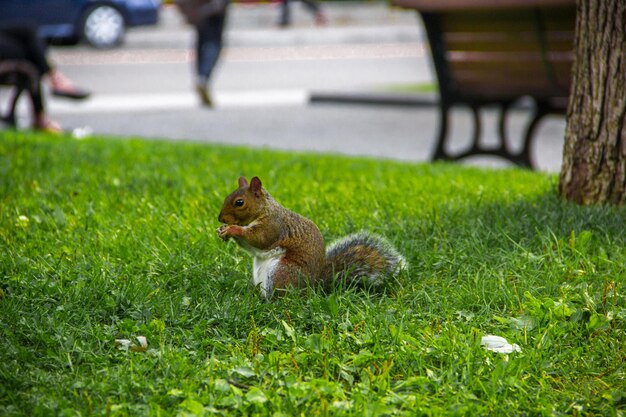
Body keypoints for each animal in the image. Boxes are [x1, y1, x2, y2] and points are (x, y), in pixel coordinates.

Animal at [216, 176, 404, 300]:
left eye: (239, 202)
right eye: (225, 197)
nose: (220, 218)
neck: (265, 209)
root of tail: (312, 288)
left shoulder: (274, 227)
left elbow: (259, 239)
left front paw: (232, 229)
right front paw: (222, 230)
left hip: (282, 272)